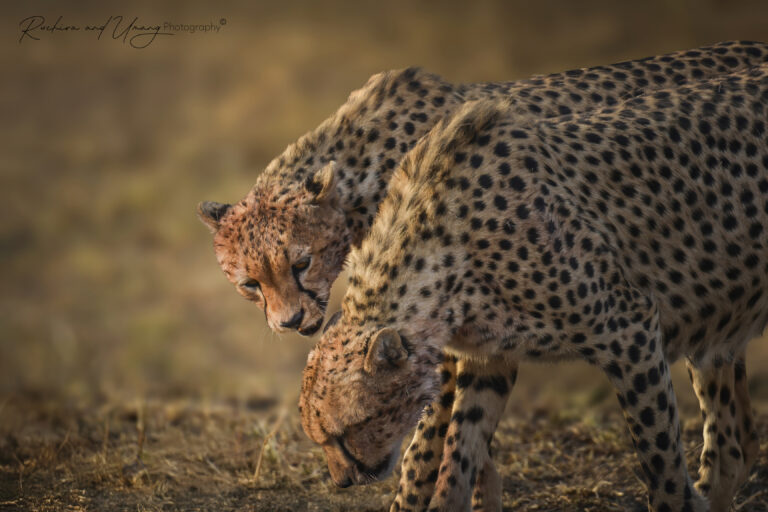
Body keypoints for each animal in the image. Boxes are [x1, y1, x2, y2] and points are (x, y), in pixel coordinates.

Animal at [198, 41, 768, 511]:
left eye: (301, 263)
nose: (289, 323)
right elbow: (466, 446)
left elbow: (427, 447)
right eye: (250, 284)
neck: (361, 171)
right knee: (737, 437)